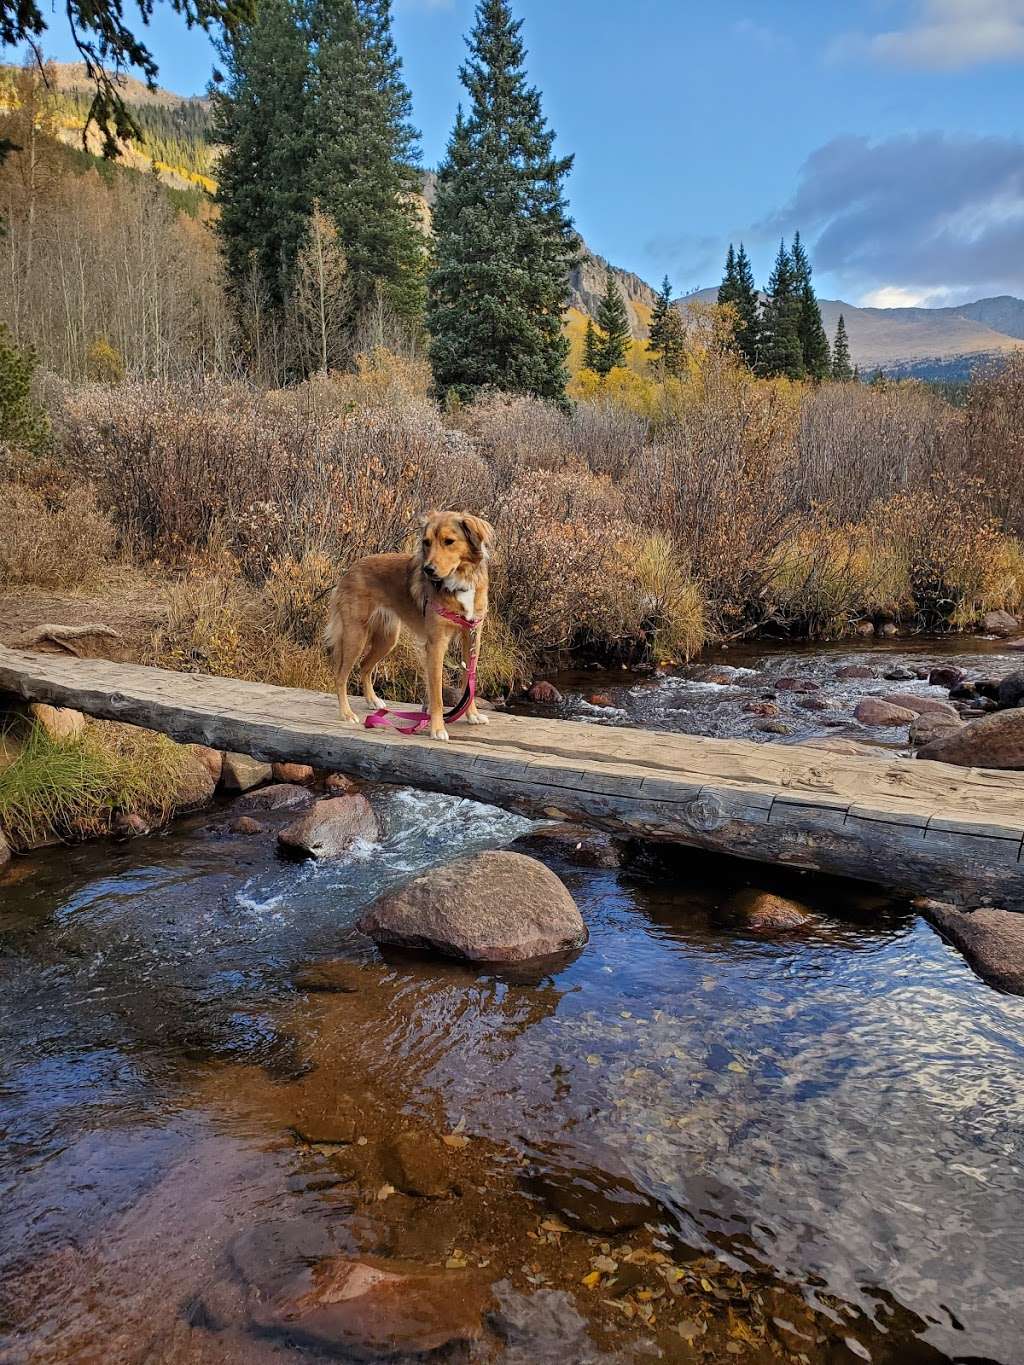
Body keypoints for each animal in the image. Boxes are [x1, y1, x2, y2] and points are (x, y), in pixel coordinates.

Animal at [324, 513, 494, 742]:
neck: (459, 582)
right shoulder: (436, 644)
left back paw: (372, 700)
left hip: (387, 639)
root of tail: (351, 568)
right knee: (341, 675)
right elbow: (437, 693)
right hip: (355, 636)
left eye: (449, 541)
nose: (428, 570)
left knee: (365, 666)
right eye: (427, 542)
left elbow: (469, 682)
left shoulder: (472, 638)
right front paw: (437, 728)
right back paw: (347, 713)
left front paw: (472, 715)